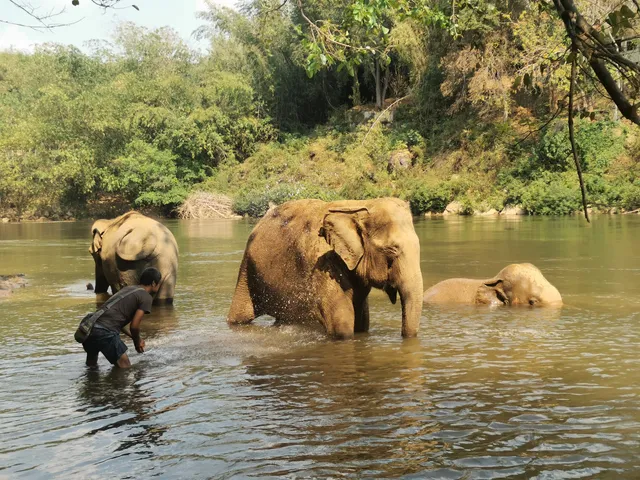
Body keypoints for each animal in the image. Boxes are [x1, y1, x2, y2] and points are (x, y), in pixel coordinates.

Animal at [227, 198, 424, 339]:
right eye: (392, 250)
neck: (360, 205)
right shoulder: (323, 265)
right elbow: (342, 326)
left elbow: (362, 323)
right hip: (248, 270)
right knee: (239, 316)